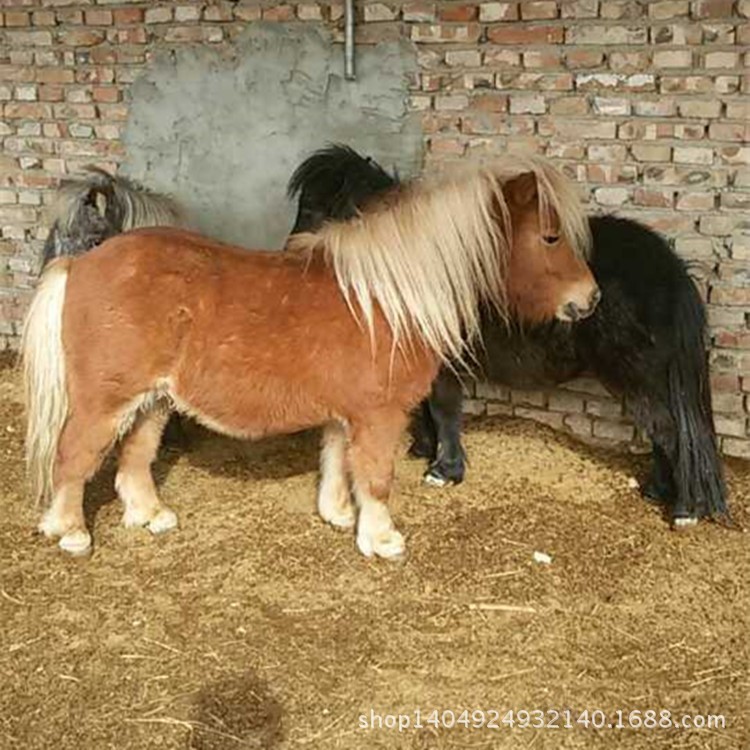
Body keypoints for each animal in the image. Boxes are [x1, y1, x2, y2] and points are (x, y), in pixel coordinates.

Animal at [22, 156, 600, 560]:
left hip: (154, 400)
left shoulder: (347, 413)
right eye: (551, 237)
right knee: (73, 455)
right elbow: (376, 476)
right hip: (106, 400)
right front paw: (382, 539)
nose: (589, 299)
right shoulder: (379, 415)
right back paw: (71, 533)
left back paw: (150, 515)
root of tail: (81, 263)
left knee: (134, 457)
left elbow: (336, 462)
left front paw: (339, 516)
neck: (387, 298)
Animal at [288, 144, 728, 524]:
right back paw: (658, 491)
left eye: (312, 207)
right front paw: (425, 450)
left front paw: (444, 469)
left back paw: (684, 510)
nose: (291, 253)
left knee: (669, 433)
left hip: (636, 378)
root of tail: (668, 269)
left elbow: (443, 407)